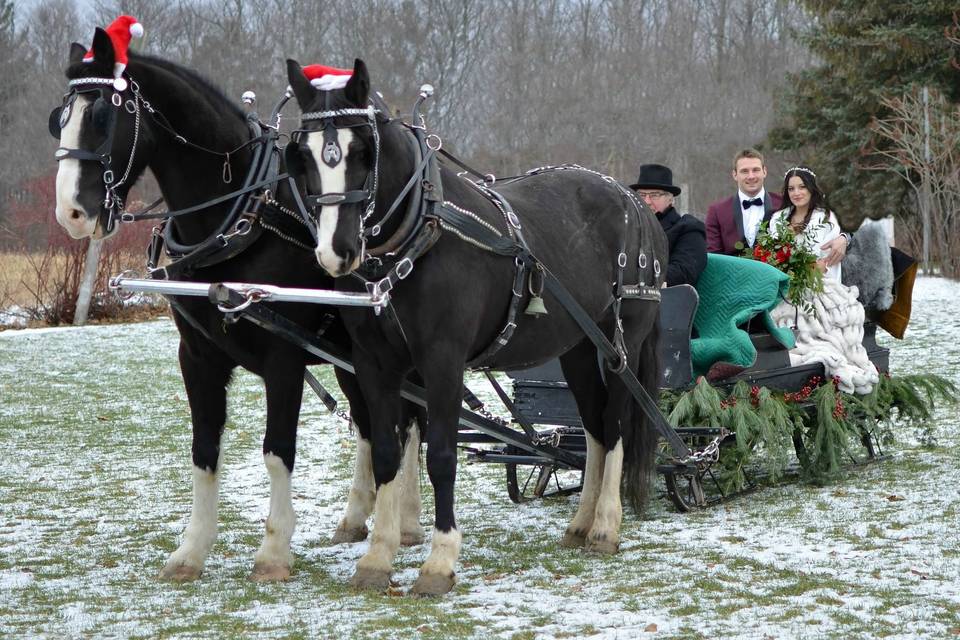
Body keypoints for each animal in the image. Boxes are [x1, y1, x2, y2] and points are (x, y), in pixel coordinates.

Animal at [51, 28, 428, 580]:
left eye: (101, 116)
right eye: (59, 117)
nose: (71, 213)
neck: (240, 214)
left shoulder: (284, 358)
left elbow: (277, 451)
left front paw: (272, 553)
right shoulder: (197, 356)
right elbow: (203, 449)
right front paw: (191, 551)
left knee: (409, 424)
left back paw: (408, 521)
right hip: (352, 357)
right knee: (371, 423)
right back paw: (359, 517)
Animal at [284, 60, 668, 596]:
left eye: (363, 151)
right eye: (303, 155)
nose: (336, 251)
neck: (417, 236)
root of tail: (633, 201)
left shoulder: (443, 360)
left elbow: (441, 455)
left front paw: (439, 562)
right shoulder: (373, 363)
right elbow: (386, 452)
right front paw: (377, 558)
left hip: (620, 343)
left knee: (613, 426)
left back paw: (606, 527)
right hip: (575, 346)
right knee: (592, 426)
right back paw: (580, 523)